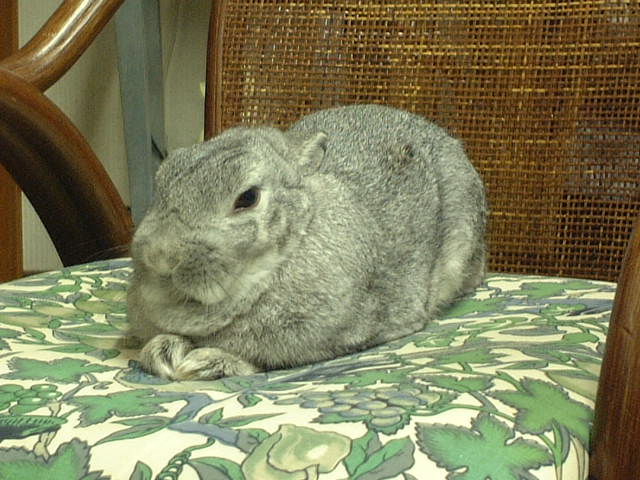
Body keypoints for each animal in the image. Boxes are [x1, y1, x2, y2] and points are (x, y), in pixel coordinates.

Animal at [126, 104, 488, 381]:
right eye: (161, 182)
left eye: (247, 197)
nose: (160, 256)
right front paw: (161, 352)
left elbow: (262, 361)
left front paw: (204, 364)